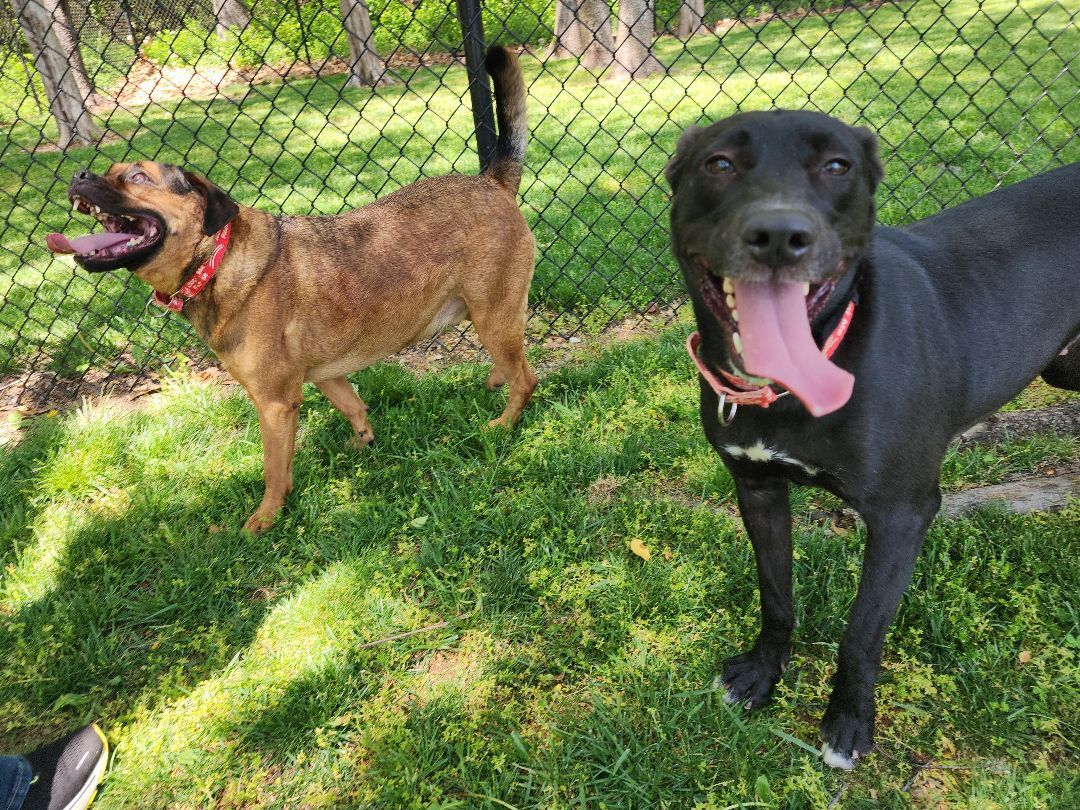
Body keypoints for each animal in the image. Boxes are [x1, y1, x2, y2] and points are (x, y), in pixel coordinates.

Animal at [46, 47, 537, 533]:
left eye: (137, 177)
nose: (78, 173)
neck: (218, 260)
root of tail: (491, 180)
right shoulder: (324, 373)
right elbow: (354, 407)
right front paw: (362, 444)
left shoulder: (275, 404)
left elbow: (274, 470)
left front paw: (266, 518)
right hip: (487, 318)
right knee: (514, 366)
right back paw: (496, 381)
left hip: (494, 316)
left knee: (527, 379)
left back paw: (504, 423)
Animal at [666, 109, 1080, 768]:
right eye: (719, 163)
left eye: (838, 166)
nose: (779, 235)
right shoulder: (757, 489)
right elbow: (775, 595)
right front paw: (762, 674)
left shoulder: (902, 515)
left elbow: (861, 633)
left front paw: (848, 722)